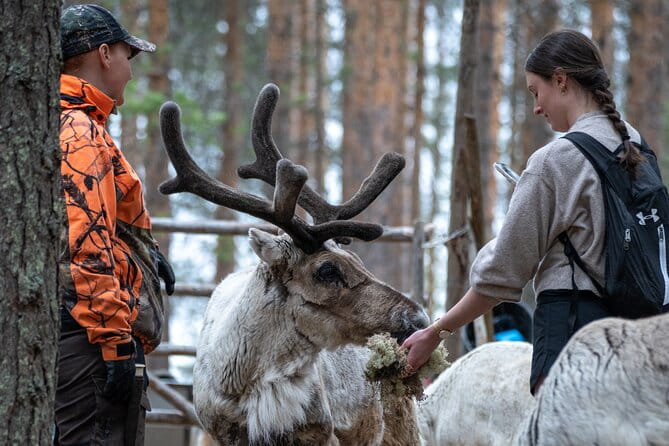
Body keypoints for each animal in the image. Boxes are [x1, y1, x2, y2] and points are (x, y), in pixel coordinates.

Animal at [159, 84, 429, 445]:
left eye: (357, 259)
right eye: (327, 270)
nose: (419, 318)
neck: (255, 384)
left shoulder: (322, 432)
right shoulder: (214, 432)